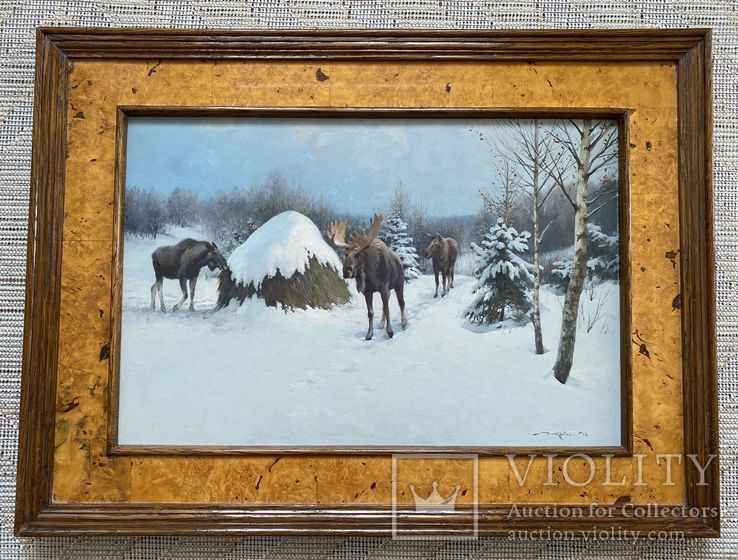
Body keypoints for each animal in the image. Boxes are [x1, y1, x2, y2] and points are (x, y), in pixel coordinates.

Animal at [328, 212, 408, 340]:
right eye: (346, 254)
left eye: (357, 254)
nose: (346, 271)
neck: (371, 276)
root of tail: (399, 260)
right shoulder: (368, 291)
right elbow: (370, 313)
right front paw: (369, 334)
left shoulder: (383, 287)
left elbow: (387, 309)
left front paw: (390, 332)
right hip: (388, 289)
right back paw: (381, 324)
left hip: (399, 284)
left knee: (401, 303)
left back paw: (404, 323)